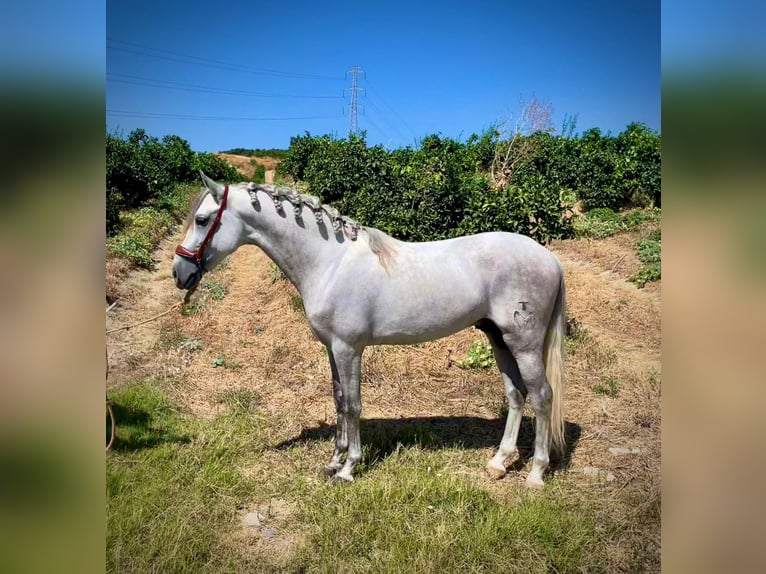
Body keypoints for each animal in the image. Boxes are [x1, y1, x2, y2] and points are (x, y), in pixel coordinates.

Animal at [176, 172, 568, 490]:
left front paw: (349, 468)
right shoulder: (332, 348)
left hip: (524, 345)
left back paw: (536, 474)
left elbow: (352, 405)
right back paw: (499, 463)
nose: (179, 273)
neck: (330, 262)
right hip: (498, 339)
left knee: (542, 396)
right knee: (516, 395)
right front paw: (333, 460)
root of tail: (550, 259)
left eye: (202, 219)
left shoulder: (349, 348)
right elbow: (338, 400)